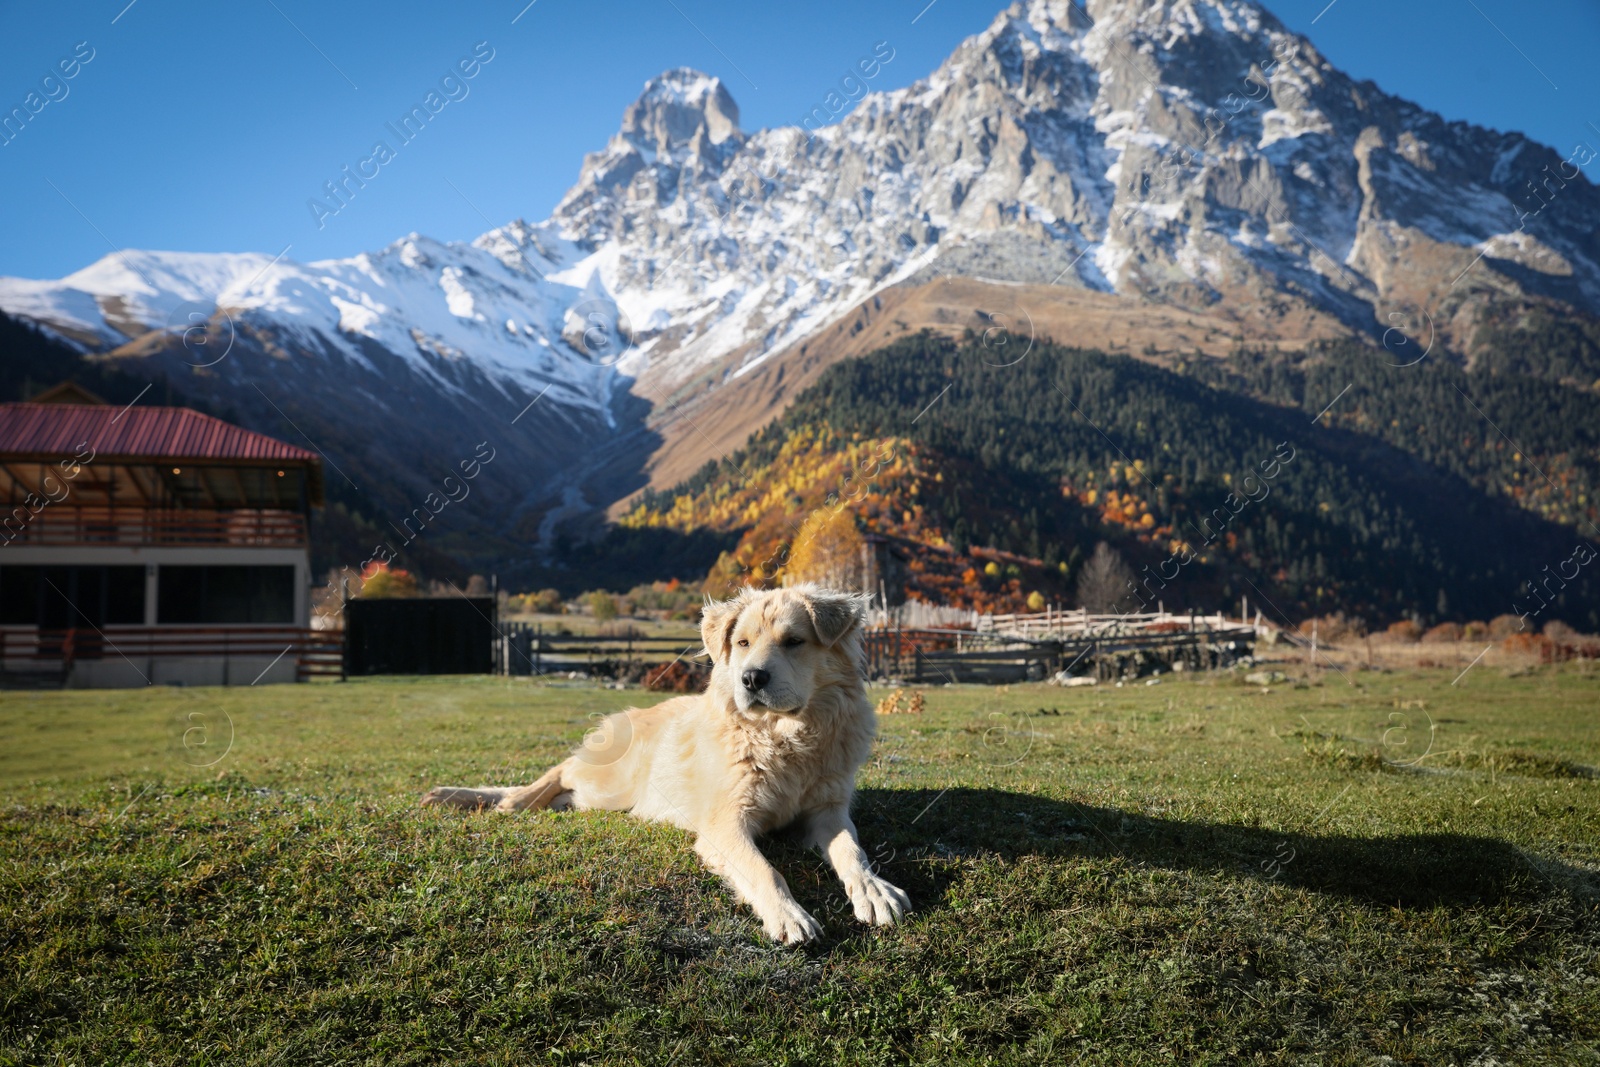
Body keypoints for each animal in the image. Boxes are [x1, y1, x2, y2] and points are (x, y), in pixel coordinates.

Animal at [419, 585, 908, 940]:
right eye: (743, 642)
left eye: (794, 642)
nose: (751, 678)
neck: (784, 737)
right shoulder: (724, 824)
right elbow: (765, 871)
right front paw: (788, 914)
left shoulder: (826, 812)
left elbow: (852, 851)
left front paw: (873, 890)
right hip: (608, 786)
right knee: (559, 771)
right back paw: (509, 800)